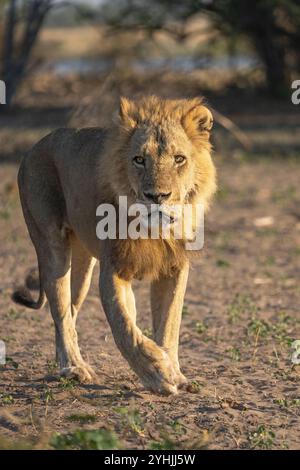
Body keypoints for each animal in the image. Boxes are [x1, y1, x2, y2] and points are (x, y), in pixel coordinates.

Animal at [12, 96, 217, 396]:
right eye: (139, 160)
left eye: (179, 159)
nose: (157, 196)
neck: (153, 231)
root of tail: (34, 147)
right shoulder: (113, 269)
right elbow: (124, 327)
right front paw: (158, 373)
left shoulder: (174, 268)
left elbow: (168, 324)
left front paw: (174, 373)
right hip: (51, 246)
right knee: (60, 312)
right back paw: (74, 368)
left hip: (82, 266)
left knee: (70, 311)